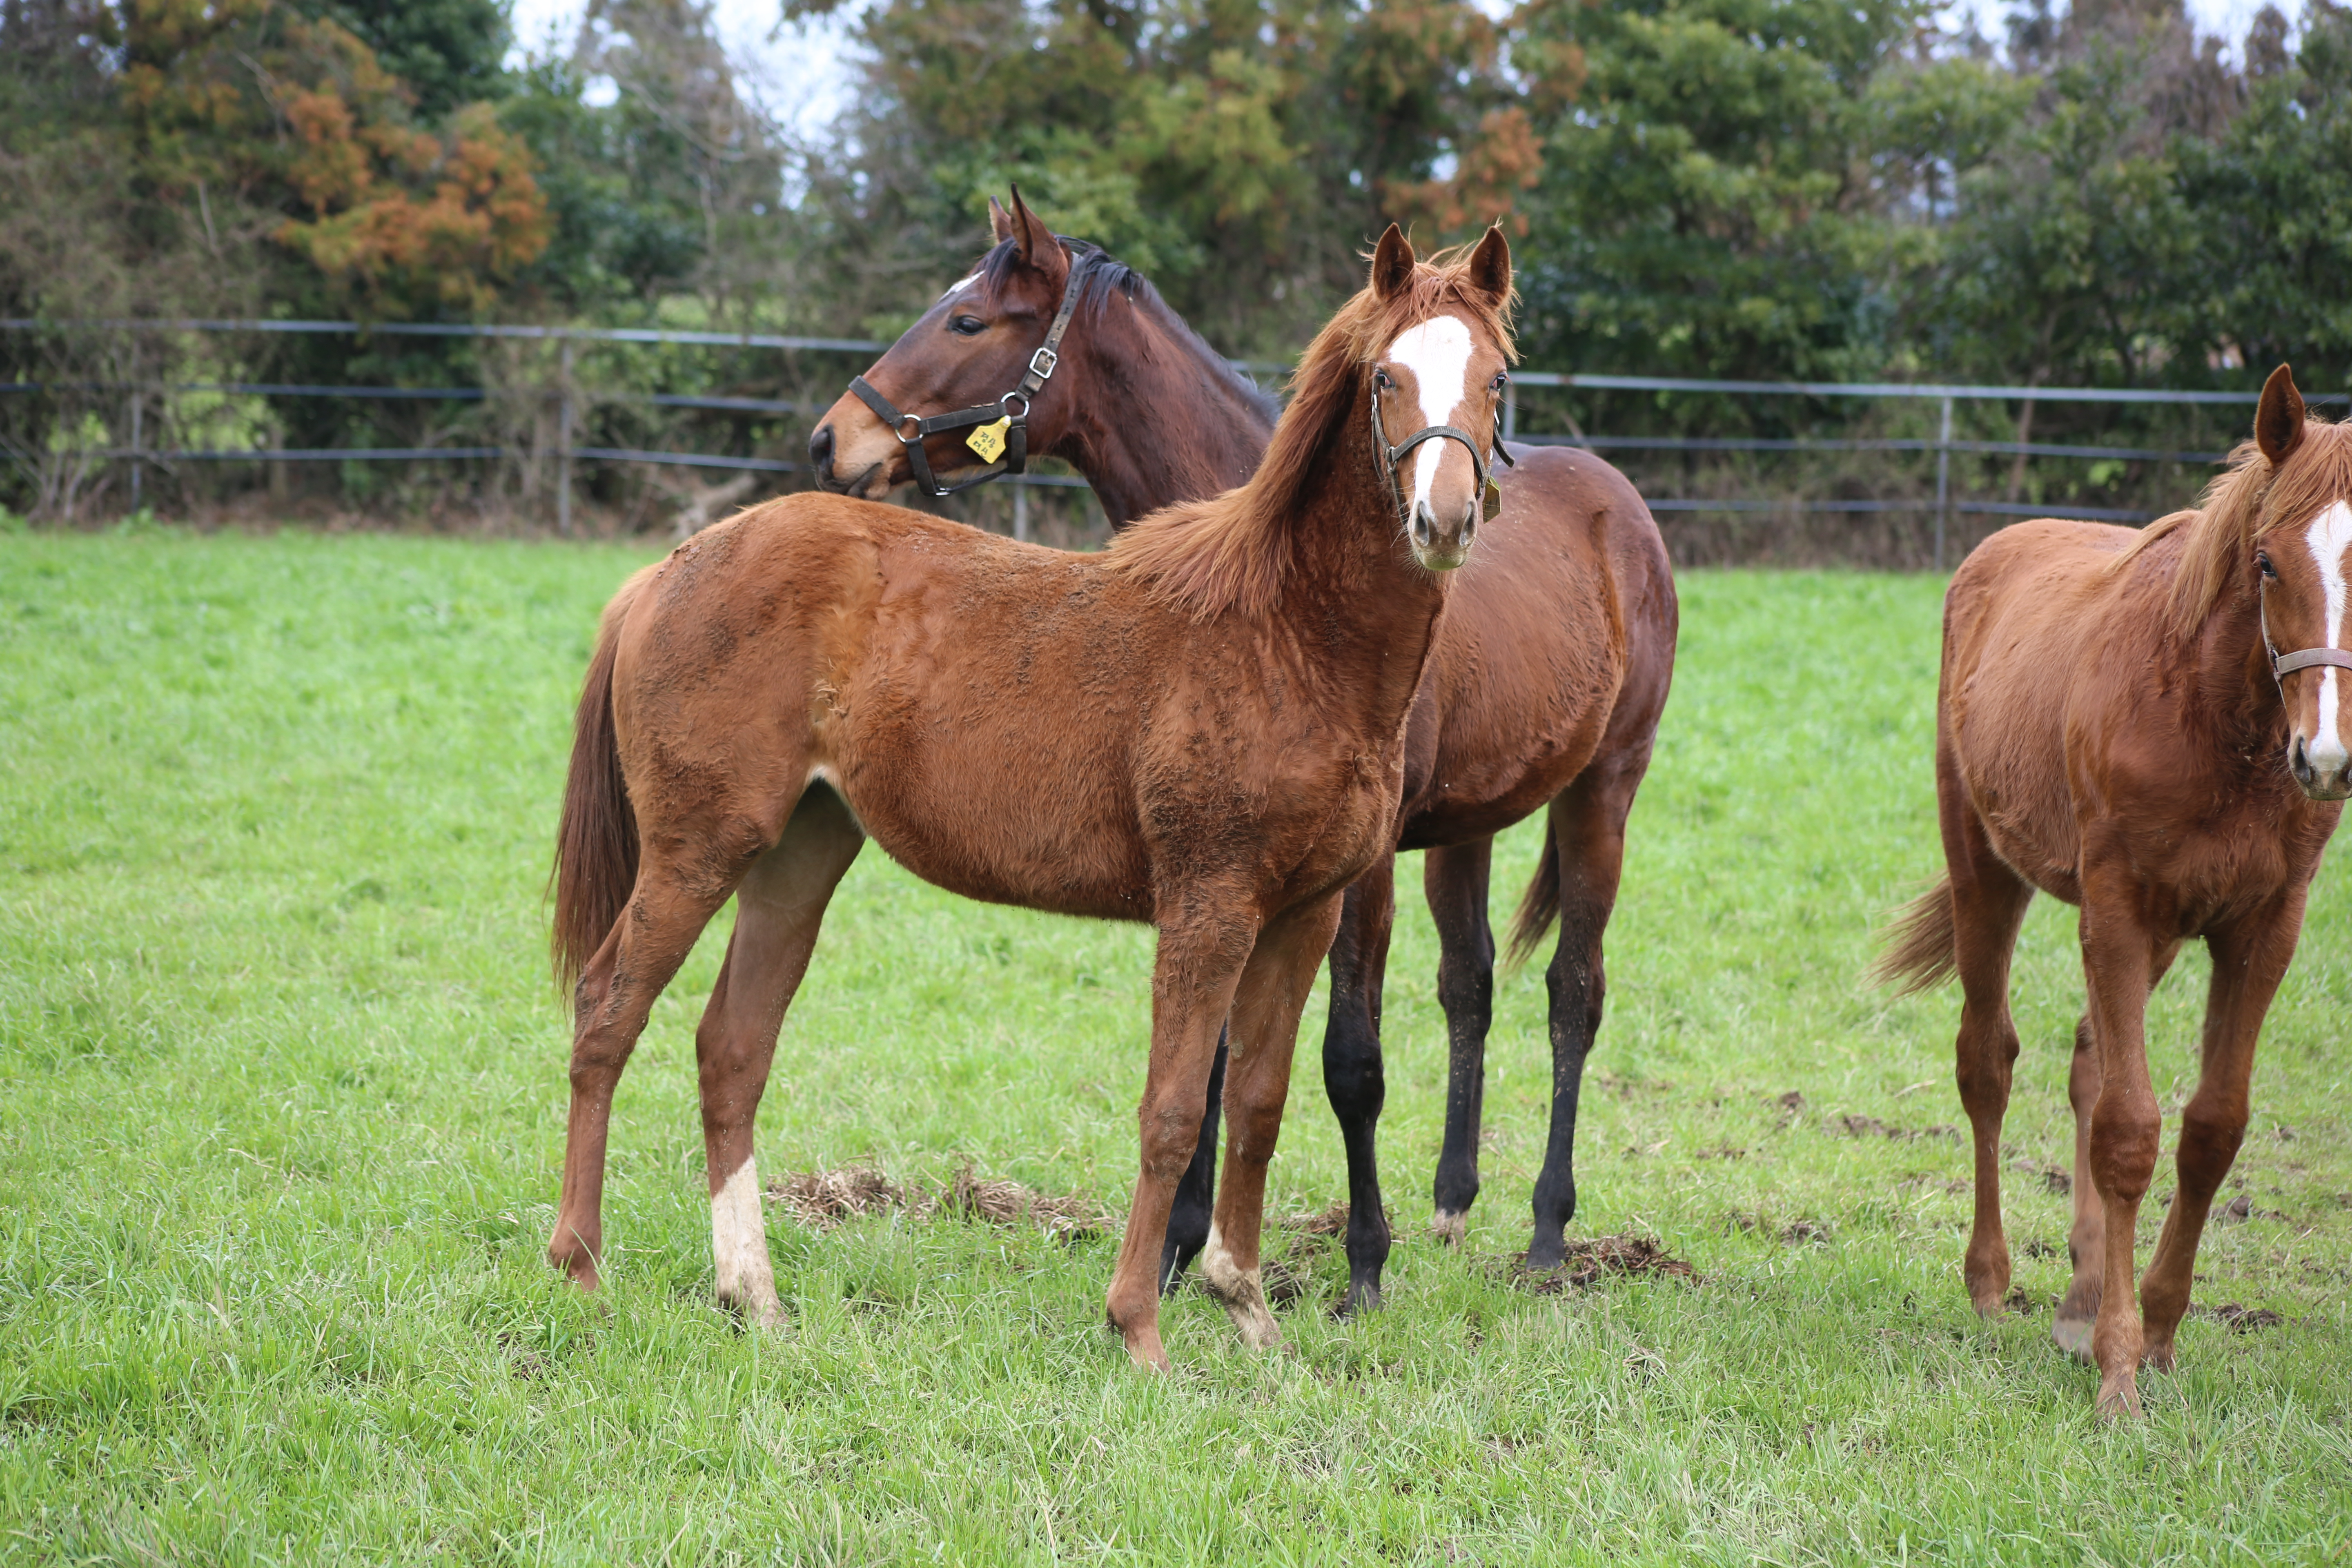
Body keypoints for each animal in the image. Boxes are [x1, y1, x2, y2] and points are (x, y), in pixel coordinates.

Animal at [541, 227, 1515, 1363]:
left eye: (1498, 380)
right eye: (1384, 378)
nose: (1442, 518)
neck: (1283, 633)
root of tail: (665, 570)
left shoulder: (1305, 913)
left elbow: (1261, 1105)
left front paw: (1248, 1310)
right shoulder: (1208, 907)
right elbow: (1174, 1110)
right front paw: (1138, 1327)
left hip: (797, 854)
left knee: (732, 1047)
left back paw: (755, 1295)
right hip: (697, 850)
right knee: (607, 1014)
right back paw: (581, 1268)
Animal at [809, 190, 1675, 1307]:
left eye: (967, 322)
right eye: (1382, 377)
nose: (833, 440)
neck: (1278, 580)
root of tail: (1620, 502)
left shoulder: (1351, 865)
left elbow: (1350, 1060)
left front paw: (1361, 1266)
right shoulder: (1225, 854)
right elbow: (1214, 1053)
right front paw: (1180, 1249)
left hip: (1603, 790)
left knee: (1573, 991)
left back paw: (1546, 1231)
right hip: (1464, 829)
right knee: (1469, 983)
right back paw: (1452, 1202)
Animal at [1872, 369, 2352, 1420]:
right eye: (2265, 563)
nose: (2328, 756)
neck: (2212, 711)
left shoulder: (2262, 927)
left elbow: (2209, 1126)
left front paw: (2158, 1331)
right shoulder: (2118, 907)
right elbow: (2130, 1130)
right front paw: (2119, 1372)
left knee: (2088, 1064)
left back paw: (2083, 1291)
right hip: (1988, 872)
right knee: (1986, 1060)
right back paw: (1992, 1282)